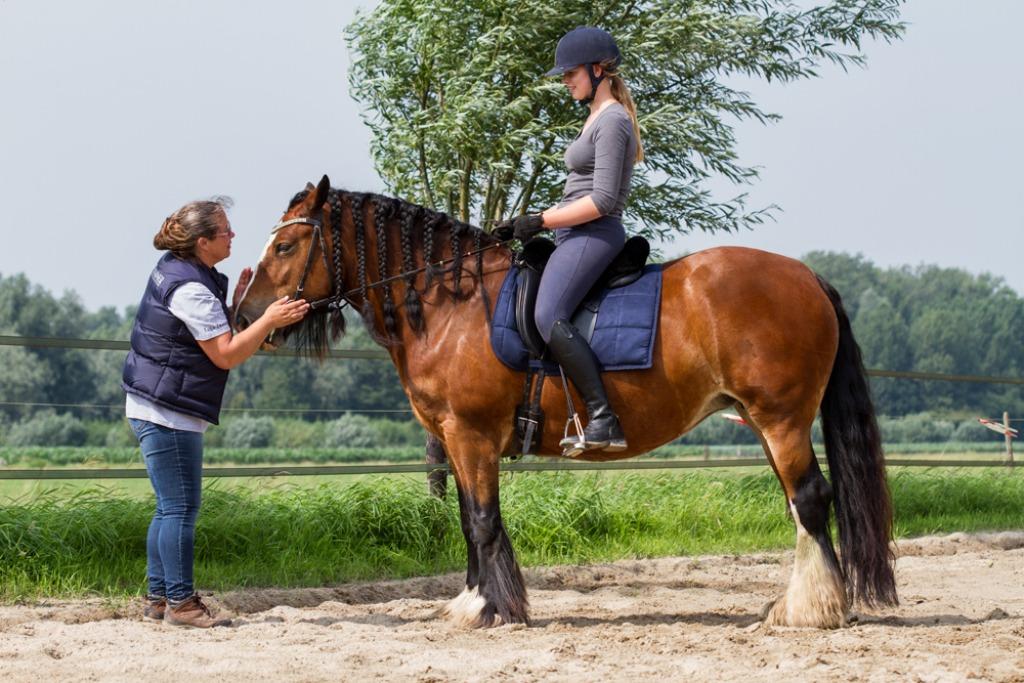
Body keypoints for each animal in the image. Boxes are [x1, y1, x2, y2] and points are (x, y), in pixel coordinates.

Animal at [235, 175, 897, 629]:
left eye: (287, 246)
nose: (246, 317)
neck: (453, 303)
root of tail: (808, 277)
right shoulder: (455, 438)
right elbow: (470, 520)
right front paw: (476, 600)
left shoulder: (471, 434)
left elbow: (481, 521)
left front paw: (488, 607)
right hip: (764, 422)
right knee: (799, 504)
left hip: (780, 418)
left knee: (810, 499)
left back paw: (811, 609)